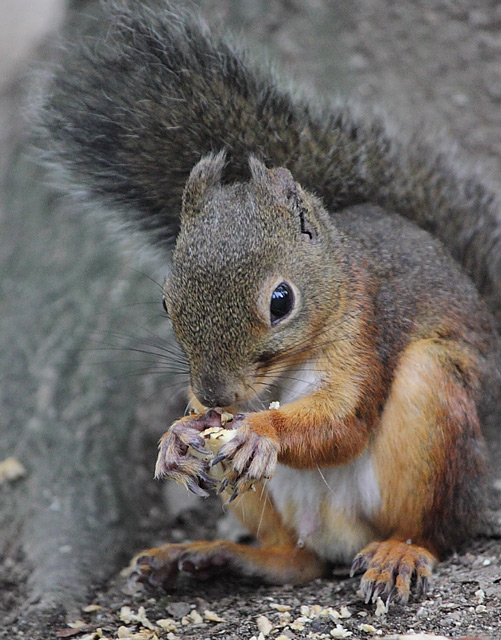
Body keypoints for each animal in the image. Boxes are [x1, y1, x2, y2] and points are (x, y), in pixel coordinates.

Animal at [39, 0, 500, 604]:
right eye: (165, 302)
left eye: (282, 301)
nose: (216, 393)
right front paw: (178, 436)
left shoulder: (365, 331)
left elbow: (344, 419)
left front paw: (261, 432)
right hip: (271, 509)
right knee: (293, 561)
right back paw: (206, 556)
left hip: (434, 406)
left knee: (434, 528)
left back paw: (400, 553)